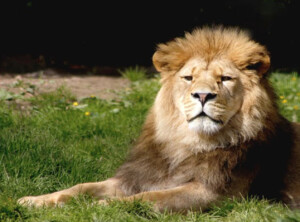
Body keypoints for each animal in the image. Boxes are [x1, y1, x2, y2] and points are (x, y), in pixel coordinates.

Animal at [18, 26, 300, 212]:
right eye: (189, 78)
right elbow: (79, 187)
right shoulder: (133, 178)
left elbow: (150, 198)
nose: (203, 95)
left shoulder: (216, 195)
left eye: (225, 79)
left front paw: (103, 206)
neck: (187, 144)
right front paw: (33, 200)